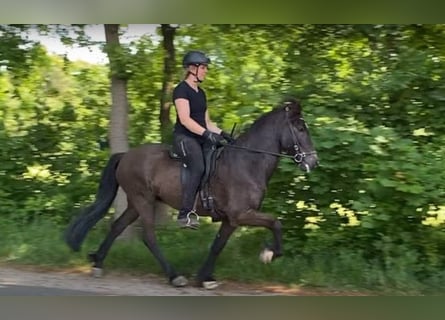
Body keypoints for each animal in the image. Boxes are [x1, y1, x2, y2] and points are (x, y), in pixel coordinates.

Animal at [64, 97, 318, 288]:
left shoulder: (231, 219)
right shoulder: (242, 214)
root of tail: (125, 156)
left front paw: (205, 277)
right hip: (143, 200)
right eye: (300, 128)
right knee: (149, 237)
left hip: (137, 203)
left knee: (117, 227)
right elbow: (275, 222)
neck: (247, 161)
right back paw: (174, 276)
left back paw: (98, 263)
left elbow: (217, 245)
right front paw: (269, 253)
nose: (313, 162)